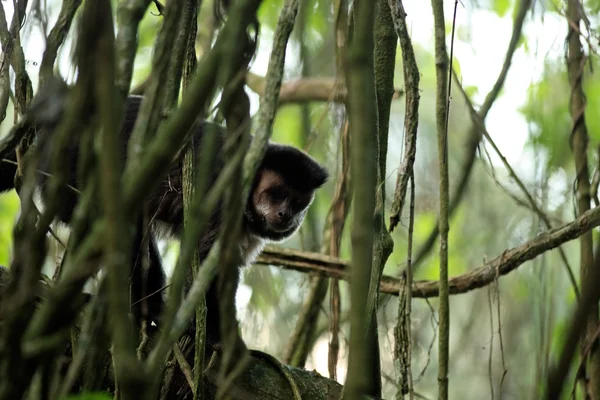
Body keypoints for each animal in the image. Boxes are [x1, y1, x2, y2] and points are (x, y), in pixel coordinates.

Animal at [0, 94, 328, 346]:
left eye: (298, 202)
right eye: (275, 193)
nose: (286, 215)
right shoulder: (222, 195)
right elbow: (204, 260)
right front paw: (209, 337)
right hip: (71, 169)